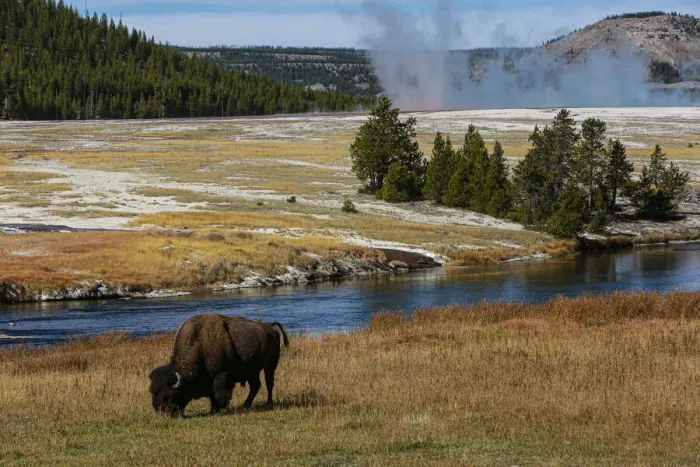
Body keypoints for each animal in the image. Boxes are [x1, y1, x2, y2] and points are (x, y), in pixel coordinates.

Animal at [149, 314, 289, 415]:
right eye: (153, 392)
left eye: (168, 396)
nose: (160, 410)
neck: (200, 344)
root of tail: (270, 327)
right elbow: (213, 395)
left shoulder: (221, 374)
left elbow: (219, 393)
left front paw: (217, 410)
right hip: (253, 371)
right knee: (256, 386)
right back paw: (245, 405)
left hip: (270, 367)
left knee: (269, 383)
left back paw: (268, 403)